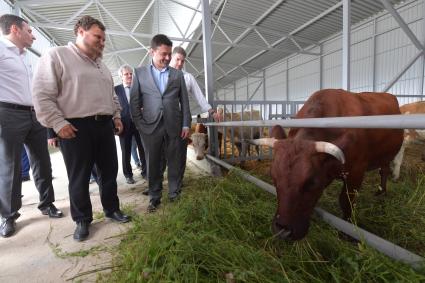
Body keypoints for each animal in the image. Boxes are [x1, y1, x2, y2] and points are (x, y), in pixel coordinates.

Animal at [250, 90, 402, 241]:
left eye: (311, 182)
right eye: (273, 177)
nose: (282, 231)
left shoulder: (356, 172)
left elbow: (346, 201)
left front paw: (347, 231)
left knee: (384, 170)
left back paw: (382, 191)